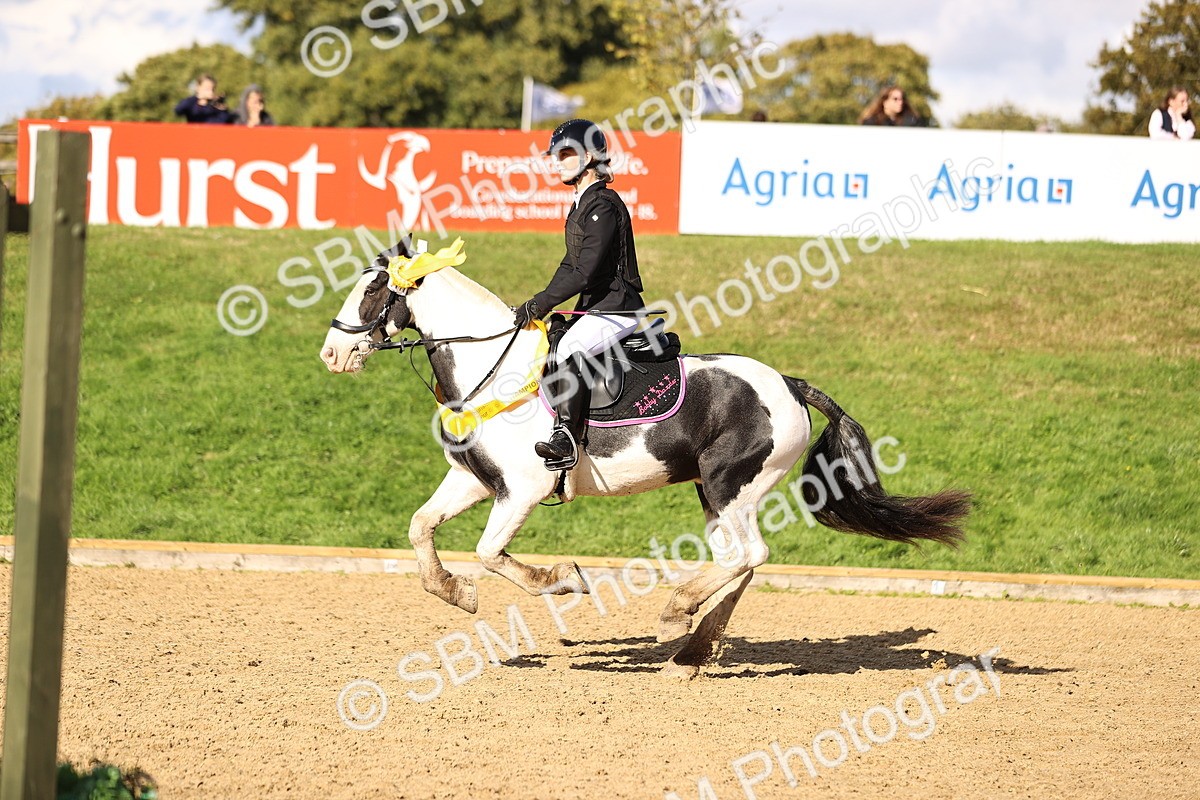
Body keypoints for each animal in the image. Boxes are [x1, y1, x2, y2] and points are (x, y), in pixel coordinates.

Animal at [319, 245, 971, 678]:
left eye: (372, 290)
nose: (332, 353)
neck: (493, 370)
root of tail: (788, 383)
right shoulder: (475, 481)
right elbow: (421, 528)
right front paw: (455, 593)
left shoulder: (522, 490)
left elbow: (489, 553)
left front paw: (562, 579)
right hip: (717, 493)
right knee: (740, 560)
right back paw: (690, 649)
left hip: (731, 484)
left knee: (749, 555)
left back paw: (676, 616)